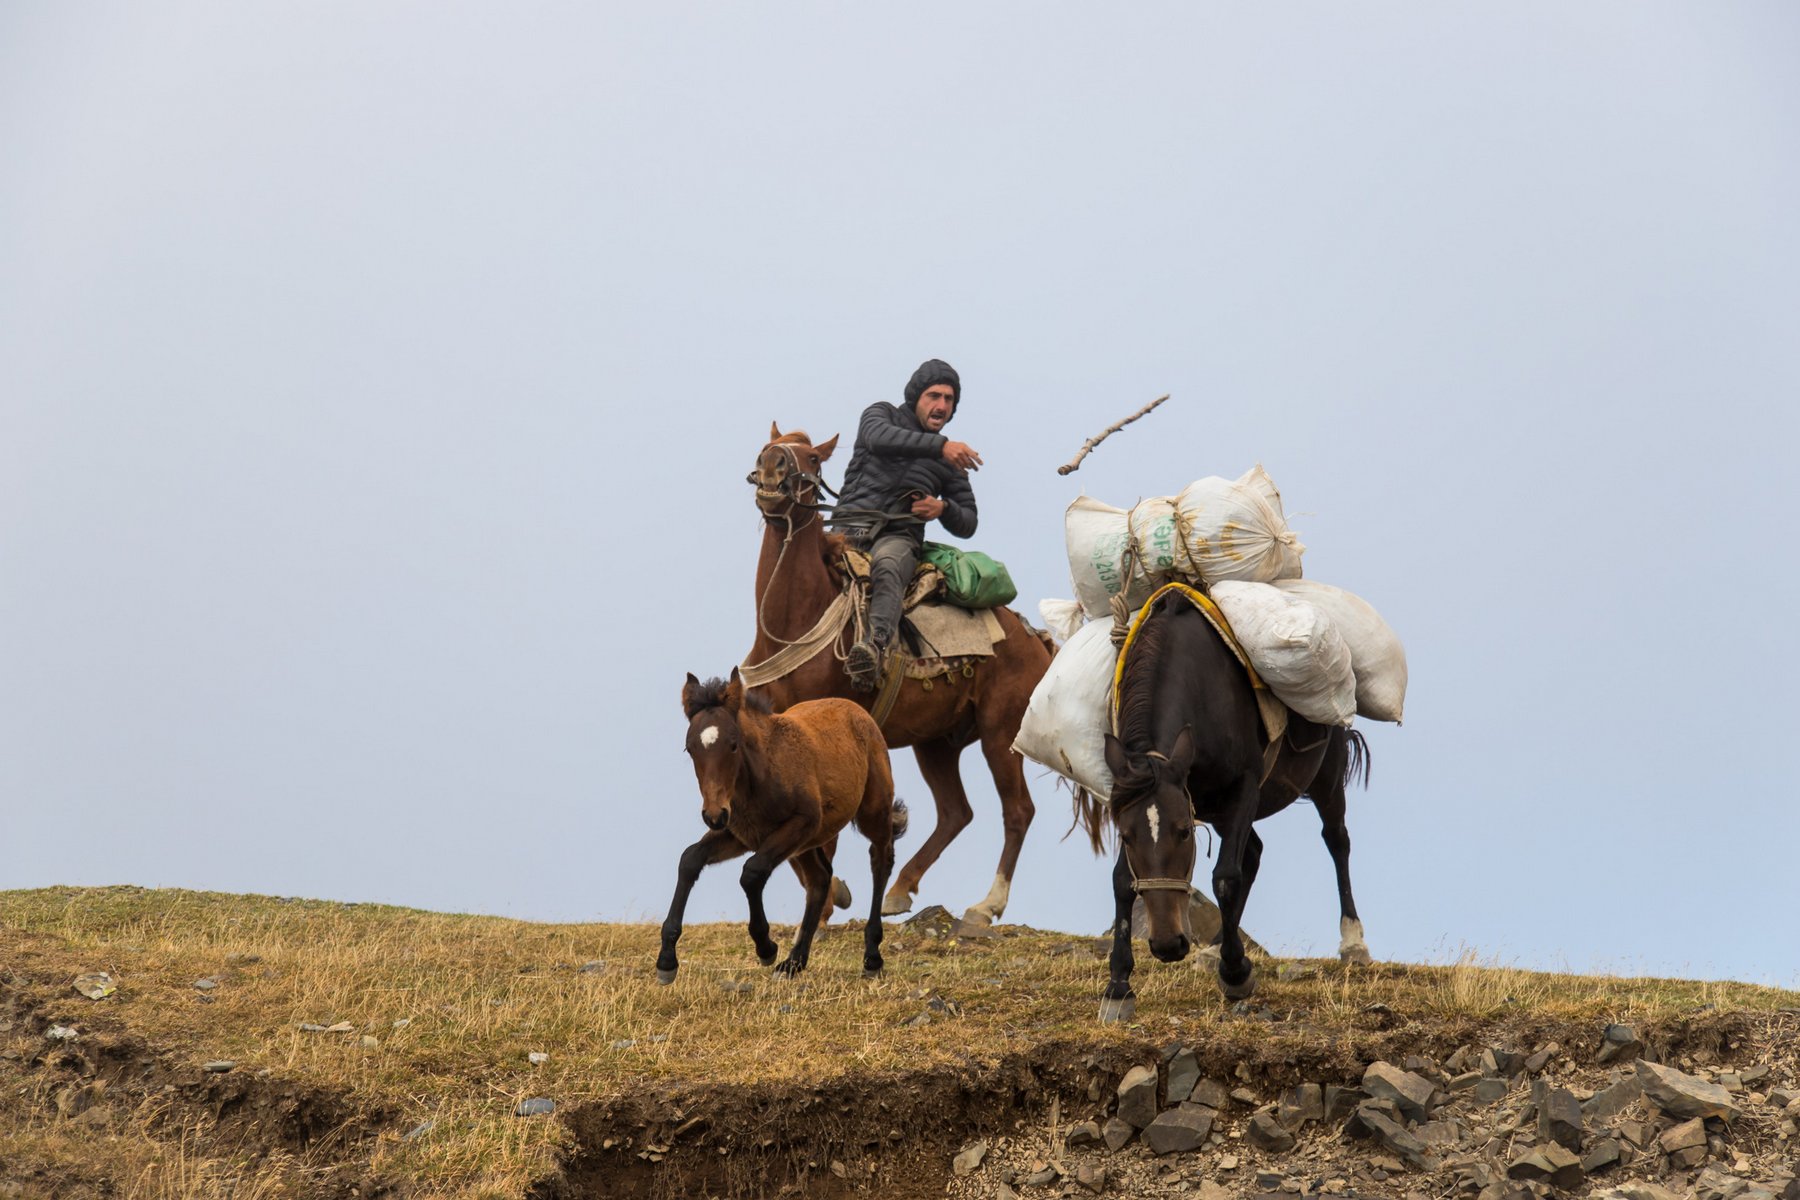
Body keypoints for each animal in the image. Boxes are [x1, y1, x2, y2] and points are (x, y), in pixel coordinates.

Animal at [658, 672, 907, 978]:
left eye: (733, 744)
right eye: (690, 748)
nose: (713, 814)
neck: (760, 776)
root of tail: (858, 711)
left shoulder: (801, 823)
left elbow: (752, 873)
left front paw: (765, 947)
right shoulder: (740, 834)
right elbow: (690, 859)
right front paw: (666, 960)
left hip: (872, 811)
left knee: (881, 860)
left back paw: (872, 956)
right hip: (805, 845)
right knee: (820, 878)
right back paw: (794, 962)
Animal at [741, 426, 1051, 928]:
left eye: (812, 457)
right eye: (766, 449)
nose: (773, 468)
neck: (794, 624)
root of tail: (1033, 637)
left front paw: (824, 904)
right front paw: (833, 893)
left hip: (1000, 733)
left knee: (1017, 810)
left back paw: (985, 906)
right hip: (937, 743)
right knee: (955, 812)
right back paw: (899, 890)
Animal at [1065, 590, 1375, 1021]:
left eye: (1184, 832)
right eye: (1125, 837)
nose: (1167, 945)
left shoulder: (1245, 786)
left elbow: (1226, 876)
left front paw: (1236, 973)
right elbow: (1122, 882)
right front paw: (1119, 986)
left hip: (1325, 773)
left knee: (1336, 840)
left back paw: (1353, 942)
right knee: (1256, 852)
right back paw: (1212, 949)